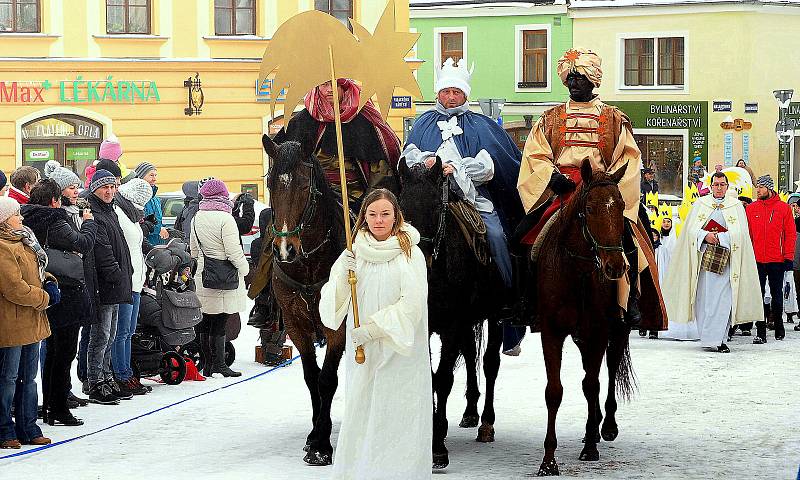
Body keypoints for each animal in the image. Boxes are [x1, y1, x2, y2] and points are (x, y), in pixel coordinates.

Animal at [260, 134, 346, 464]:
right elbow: (312, 377)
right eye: (271, 182)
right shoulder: (296, 326)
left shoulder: (338, 329)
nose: (285, 249)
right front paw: (314, 435)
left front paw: (322, 443)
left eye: (303, 185)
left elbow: (327, 379)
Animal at [396, 158, 504, 468]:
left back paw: (486, 422)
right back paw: (470, 411)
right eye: (402, 206)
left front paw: (437, 446)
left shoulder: (452, 325)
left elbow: (443, 379)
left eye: (436, 205)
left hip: (495, 315)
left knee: (490, 363)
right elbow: (430, 376)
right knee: (469, 354)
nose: (419, 259)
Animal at [532, 159, 636, 474]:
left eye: (621, 205)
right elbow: (554, 391)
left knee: (611, 367)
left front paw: (591, 445)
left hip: (616, 330)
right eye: (589, 209)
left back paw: (606, 425)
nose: (615, 266)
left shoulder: (598, 330)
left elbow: (592, 385)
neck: (576, 271)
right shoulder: (551, 331)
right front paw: (548, 460)